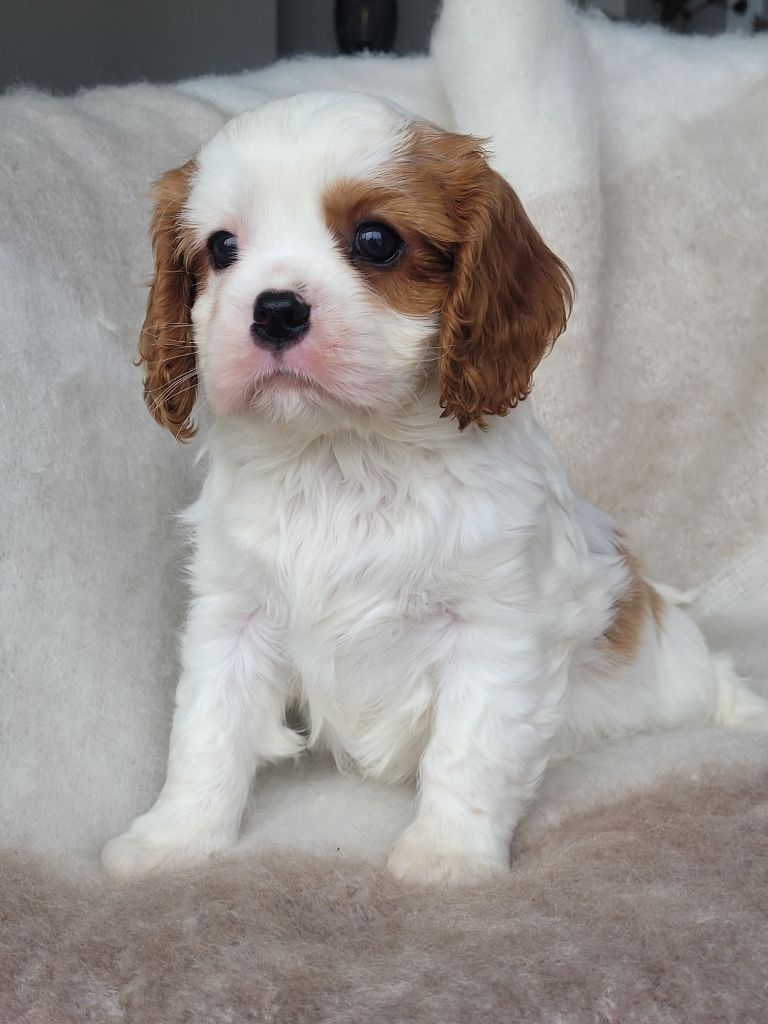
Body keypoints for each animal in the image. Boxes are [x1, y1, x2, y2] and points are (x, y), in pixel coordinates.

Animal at [101, 92, 767, 884]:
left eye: (376, 240)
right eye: (223, 249)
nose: (275, 309)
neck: (344, 455)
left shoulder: (495, 631)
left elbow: (470, 751)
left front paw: (448, 855)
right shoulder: (231, 617)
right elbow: (206, 731)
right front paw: (175, 839)